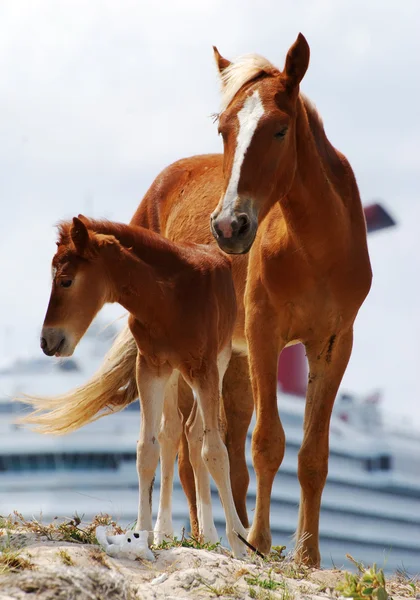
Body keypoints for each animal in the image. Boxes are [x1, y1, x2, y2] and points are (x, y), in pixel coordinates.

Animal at [22, 34, 370, 568]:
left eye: (280, 129)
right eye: (224, 129)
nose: (229, 226)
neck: (315, 246)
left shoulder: (335, 343)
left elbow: (312, 454)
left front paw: (307, 556)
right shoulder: (263, 333)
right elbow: (267, 443)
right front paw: (259, 542)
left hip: (230, 361)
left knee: (205, 437)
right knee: (185, 440)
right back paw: (194, 532)